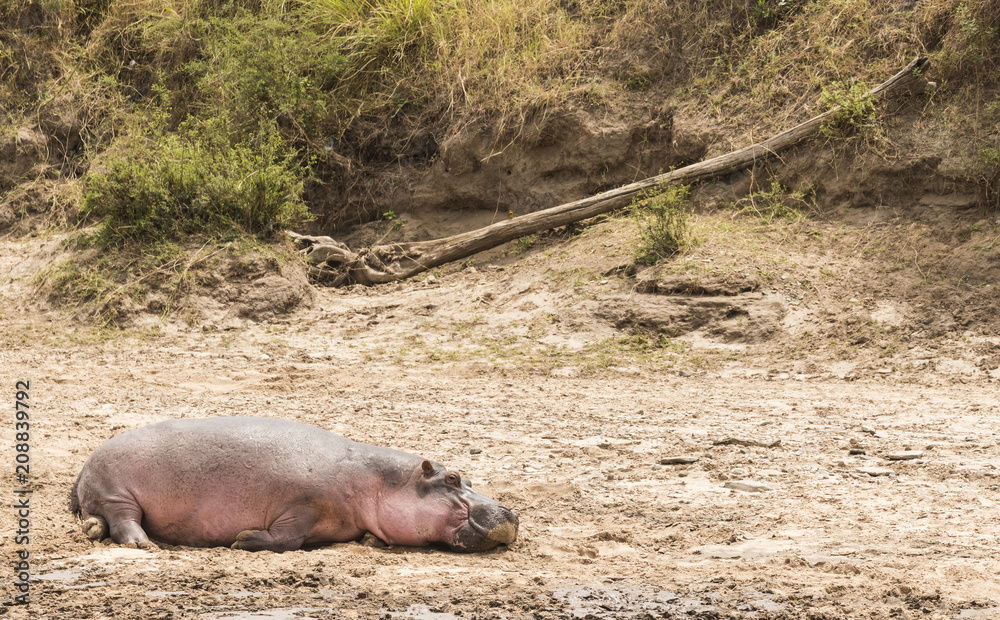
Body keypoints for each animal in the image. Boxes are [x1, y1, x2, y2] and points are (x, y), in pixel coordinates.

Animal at [69, 417, 518, 553]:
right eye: (452, 477)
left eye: (469, 477)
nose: (512, 512)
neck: (381, 481)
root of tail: (87, 459)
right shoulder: (303, 505)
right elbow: (288, 537)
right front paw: (243, 539)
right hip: (117, 493)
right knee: (124, 522)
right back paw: (145, 545)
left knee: (98, 520)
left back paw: (93, 530)